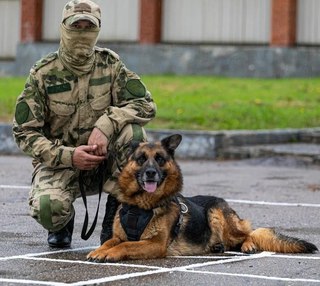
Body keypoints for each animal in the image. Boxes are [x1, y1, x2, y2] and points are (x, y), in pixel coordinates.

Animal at [87, 135, 318, 262]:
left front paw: (110, 254)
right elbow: (111, 241)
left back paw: (247, 245)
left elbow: (126, 246)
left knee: (249, 233)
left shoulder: (155, 244)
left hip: (217, 214)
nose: (151, 173)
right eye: (141, 159)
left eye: (160, 159)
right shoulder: (119, 235)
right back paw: (217, 246)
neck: (140, 206)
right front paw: (100, 251)